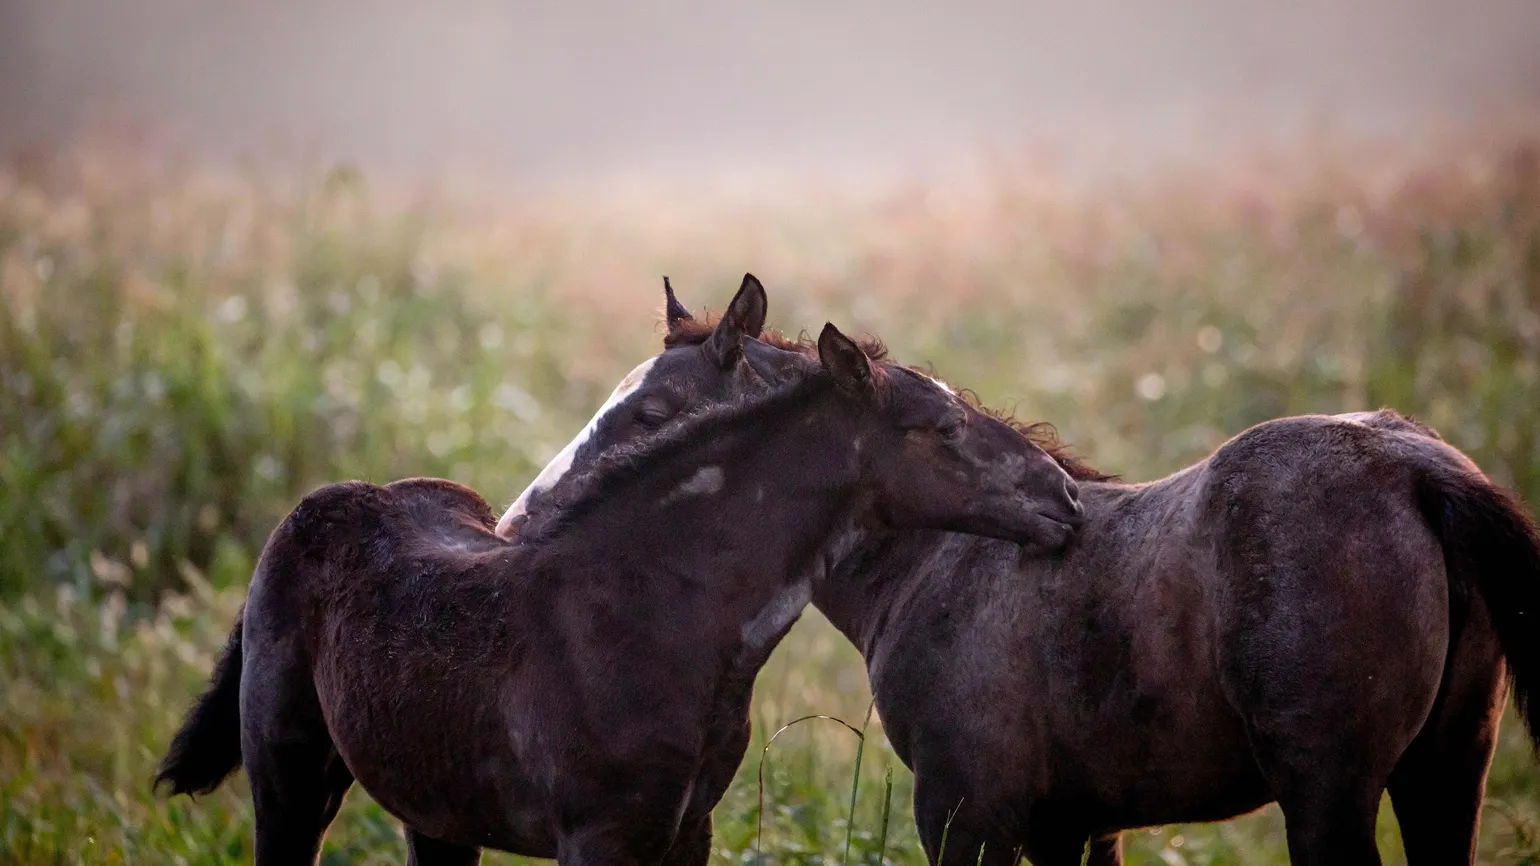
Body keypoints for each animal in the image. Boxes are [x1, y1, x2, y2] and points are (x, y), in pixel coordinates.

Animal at [150, 277, 1078, 862]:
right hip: (288, 782)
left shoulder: (687, 833)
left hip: (436, 815)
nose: (1066, 495)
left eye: (649, 410)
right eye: (942, 427)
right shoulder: (595, 838)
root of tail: (322, 502)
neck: (657, 612)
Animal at [514, 285, 1540, 862]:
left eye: (651, 415)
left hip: (1331, 792)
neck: (939, 558)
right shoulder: (1076, 824)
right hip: (1448, 773)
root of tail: (1411, 464)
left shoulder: (967, 812)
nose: (524, 518)